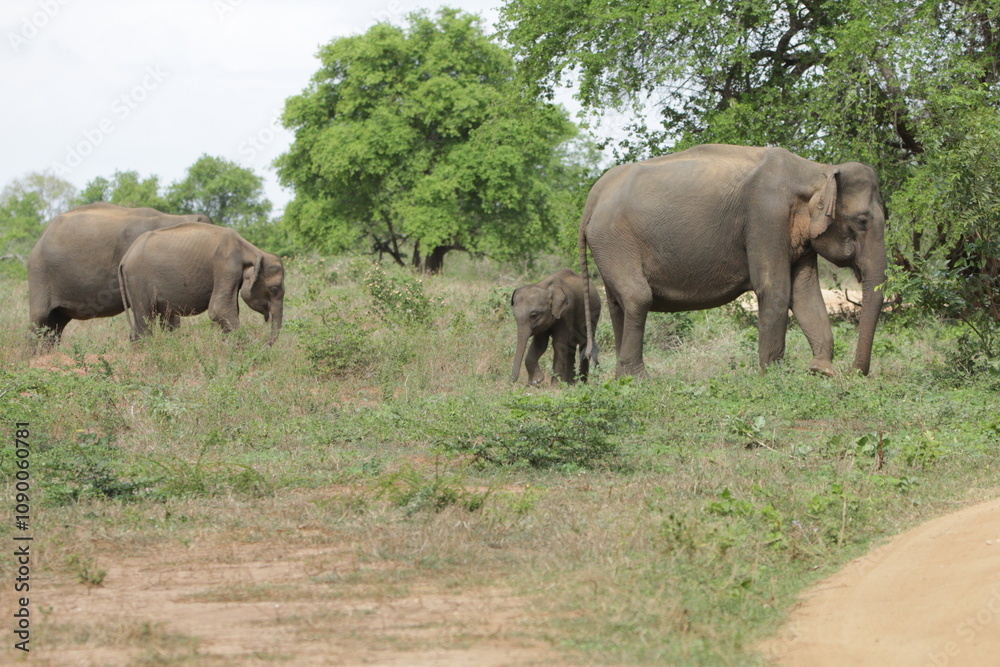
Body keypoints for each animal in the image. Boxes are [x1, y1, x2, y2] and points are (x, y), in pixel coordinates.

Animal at [118, 223, 284, 345]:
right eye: (274, 289)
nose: (265, 344)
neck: (251, 250)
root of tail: (124, 259)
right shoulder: (226, 265)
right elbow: (219, 309)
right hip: (137, 281)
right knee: (145, 318)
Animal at [578, 144, 887, 379]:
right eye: (862, 221)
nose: (855, 372)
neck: (814, 169)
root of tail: (594, 194)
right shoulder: (766, 214)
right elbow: (776, 289)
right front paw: (773, 377)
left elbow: (805, 293)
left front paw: (821, 372)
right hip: (614, 239)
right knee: (637, 297)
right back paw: (639, 380)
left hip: (609, 245)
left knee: (618, 303)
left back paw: (622, 380)